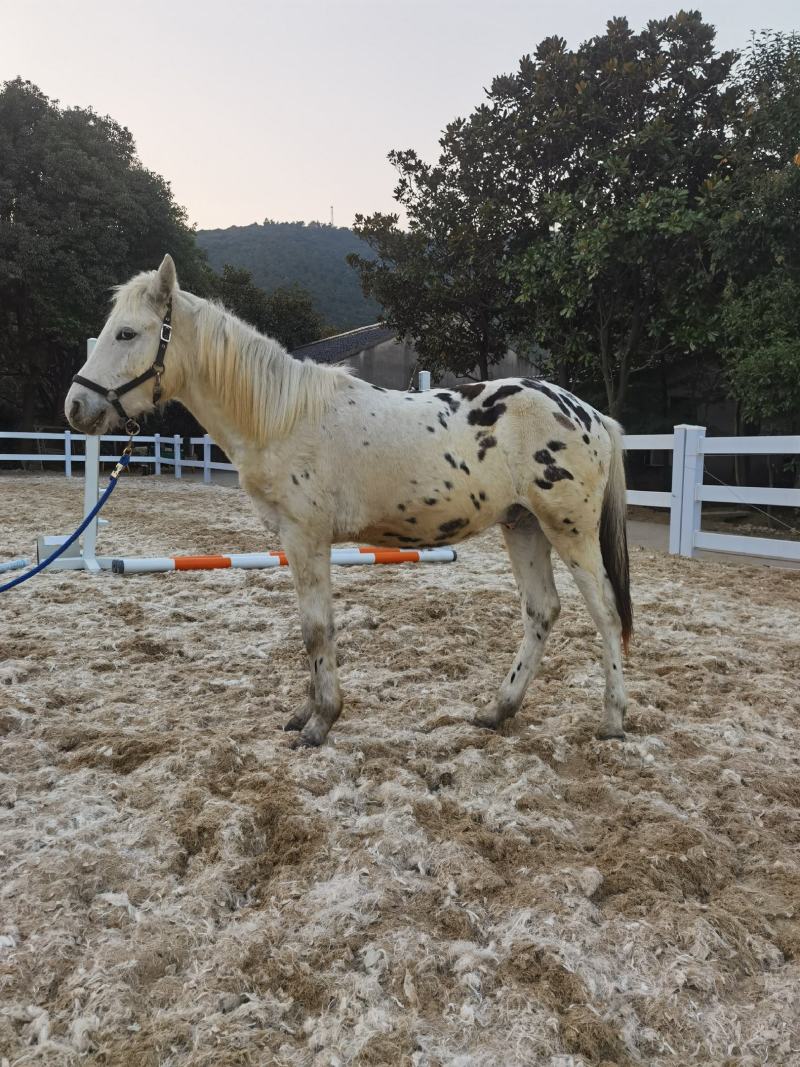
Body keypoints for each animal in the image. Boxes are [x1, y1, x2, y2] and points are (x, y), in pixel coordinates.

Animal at [65, 255, 632, 747]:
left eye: (126, 333)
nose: (76, 406)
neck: (283, 416)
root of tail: (589, 413)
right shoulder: (296, 543)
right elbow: (308, 628)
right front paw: (305, 714)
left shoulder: (306, 537)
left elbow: (317, 630)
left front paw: (321, 722)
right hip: (523, 526)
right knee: (542, 611)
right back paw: (498, 710)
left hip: (569, 530)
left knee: (605, 613)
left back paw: (612, 720)